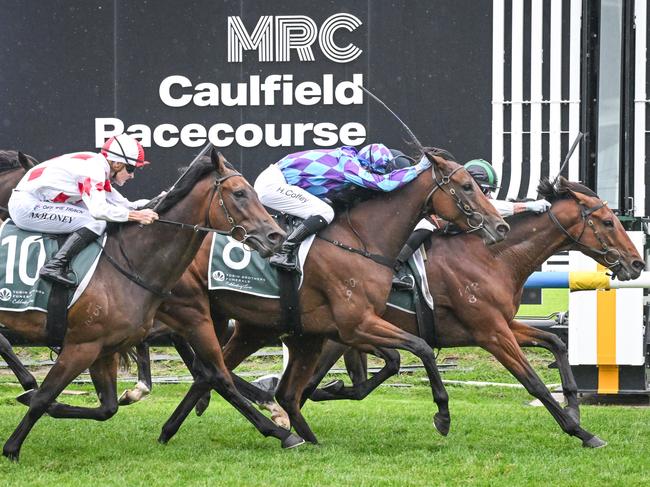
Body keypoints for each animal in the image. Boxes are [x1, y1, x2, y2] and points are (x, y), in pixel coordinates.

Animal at [0, 152, 304, 462]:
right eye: (240, 193)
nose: (276, 236)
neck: (129, 260)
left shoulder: (103, 347)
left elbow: (106, 407)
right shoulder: (82, 345)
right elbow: (44, 397)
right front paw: (12, 447)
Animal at [154, 150, 508, 446]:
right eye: (466, 187)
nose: (500, 225)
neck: (362, 240)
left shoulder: (349, 327)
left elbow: (397, 358)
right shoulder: (356, 323)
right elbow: (421, 348)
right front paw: (443, 415)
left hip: (252, 326)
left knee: (216, 374)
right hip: (203, 314)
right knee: (214, 372)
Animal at [260, 177, 644, 448]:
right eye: (608, 222)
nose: (637, 263)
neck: (492, 258)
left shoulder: (503, 324)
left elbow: (556, 342)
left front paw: (574, 406)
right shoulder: (492, 333)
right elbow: (533, 382)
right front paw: (581, 431)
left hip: (335, 338)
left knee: (305, 388)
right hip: (335, 337)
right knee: (298, 388)